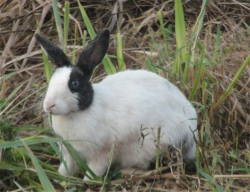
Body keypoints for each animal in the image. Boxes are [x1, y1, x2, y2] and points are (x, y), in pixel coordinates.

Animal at [34, 28, 197, 182]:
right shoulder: (69, 153)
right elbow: (66, 168)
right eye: (52, 79)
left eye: (74, 83)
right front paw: (59, 179)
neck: (77, 113)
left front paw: (87, 182)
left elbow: (94, 171)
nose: (49, 105)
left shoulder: (102, 154)